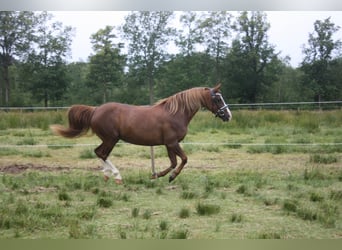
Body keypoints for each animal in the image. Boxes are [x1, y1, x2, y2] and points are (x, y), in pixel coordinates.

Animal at [50, 84, 232, 184]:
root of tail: (95, 110)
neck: (175, 114)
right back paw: (117, 176)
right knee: (101, 153)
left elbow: (174, 162)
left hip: (109, 139)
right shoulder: (172, 142)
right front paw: (169, 176)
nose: (228, 115)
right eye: (217, 99)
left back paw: (108, 176)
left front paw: (158, 175)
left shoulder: (169, 144)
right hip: (111, 139)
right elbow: (184, 159)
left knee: (99, 153)